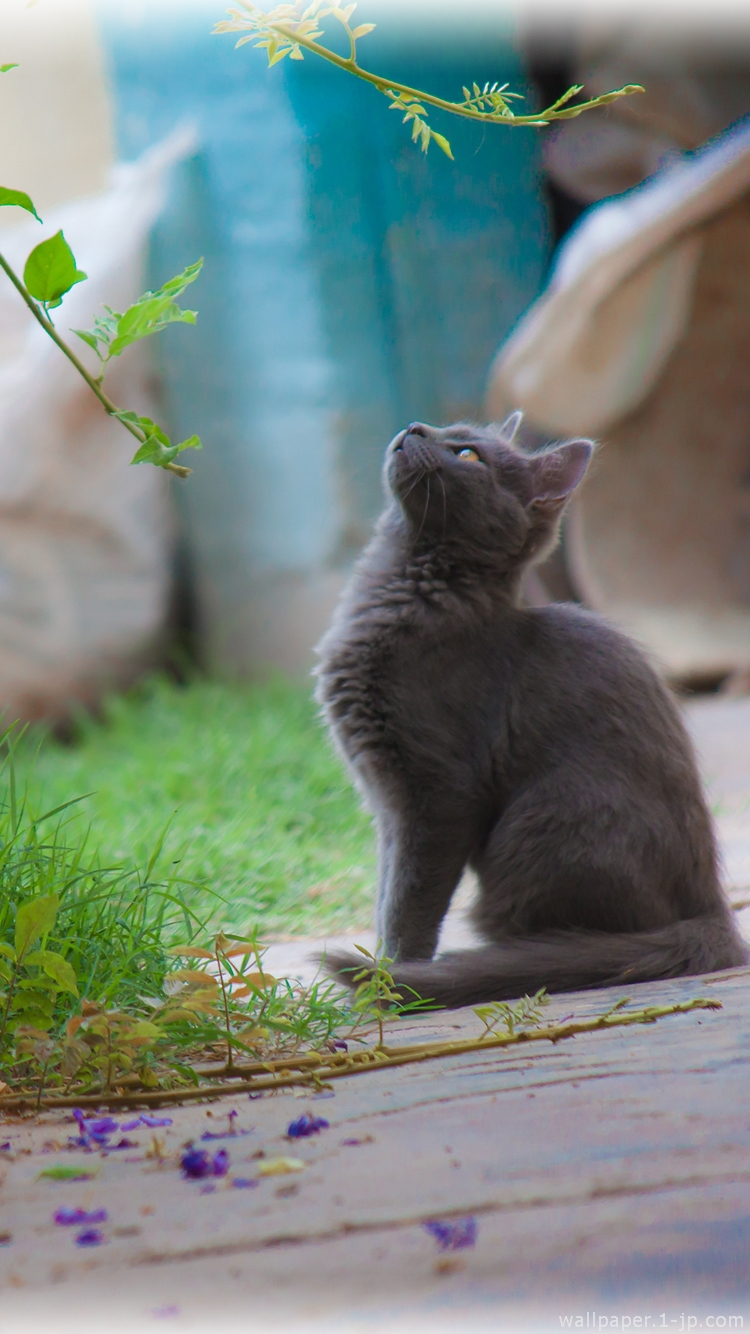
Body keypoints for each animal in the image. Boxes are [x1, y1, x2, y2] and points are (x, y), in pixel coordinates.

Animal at [310, 410, 741, 1003]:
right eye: (445, 430)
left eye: (468, 455)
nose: (415, 427)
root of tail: (714, 909)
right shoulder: (388, 808)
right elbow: (384, 891)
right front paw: (386, 967)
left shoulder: (438, 796)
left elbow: (408, 901)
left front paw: (393, 979)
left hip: (547, 821)